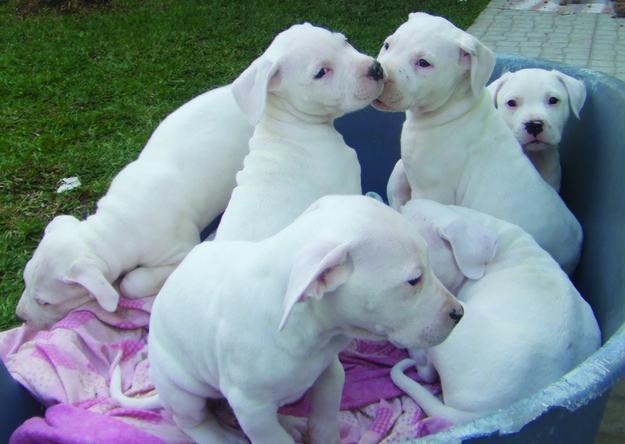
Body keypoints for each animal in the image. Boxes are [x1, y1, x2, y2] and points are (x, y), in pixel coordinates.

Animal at [15, 86, 254, 330]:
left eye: (45, 302)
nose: (19, 317)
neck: (115, 225)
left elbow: (132, 284)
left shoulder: (183, 251)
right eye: (24, 280)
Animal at [112, 195, 464, 444]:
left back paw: (291, 423)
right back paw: (224, 437)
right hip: (182, 390)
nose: (459, 313)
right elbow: (271, 438)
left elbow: (325, 418)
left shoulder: (329, 372)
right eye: (414, 280)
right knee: (194, 423)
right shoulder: (251, 409)